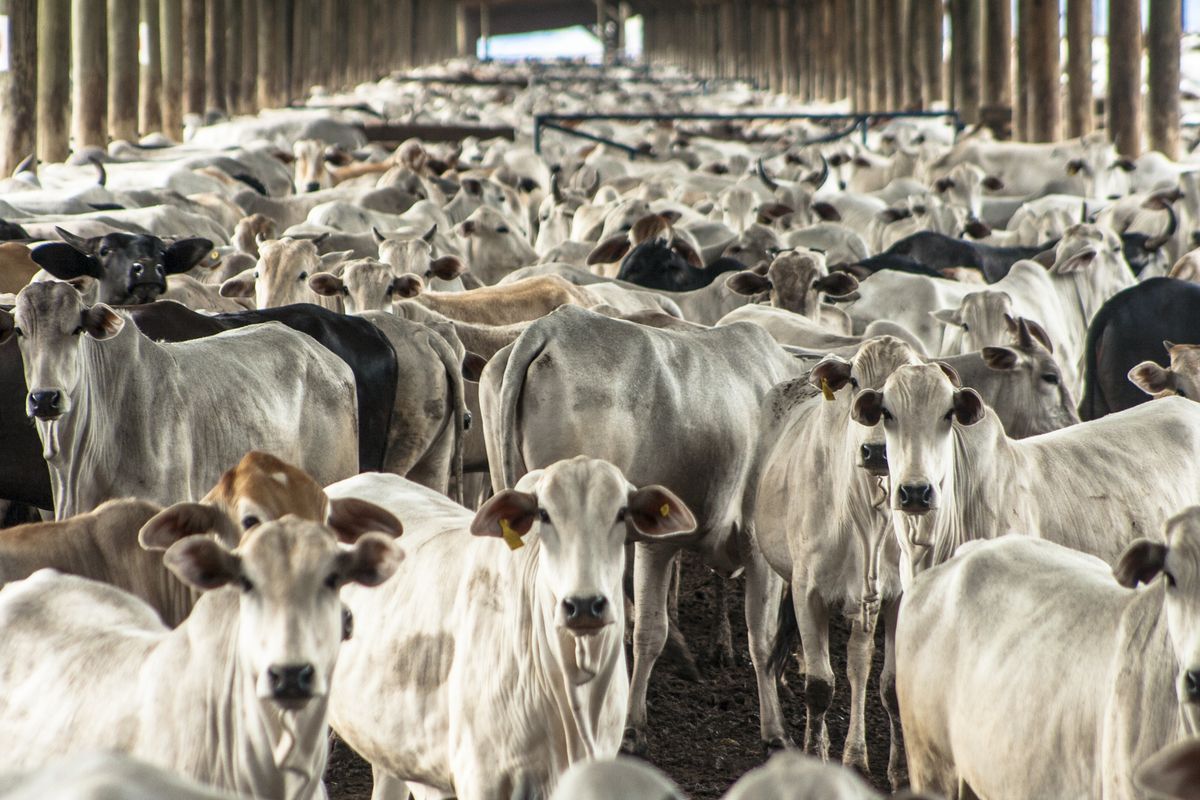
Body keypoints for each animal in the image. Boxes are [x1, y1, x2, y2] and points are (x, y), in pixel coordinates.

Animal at [477, 304, 806, 758]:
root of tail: (550, 327)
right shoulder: (745, 543)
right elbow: (757, 636)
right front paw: (775, 729)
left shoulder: (660, 542)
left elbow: (651, 630)